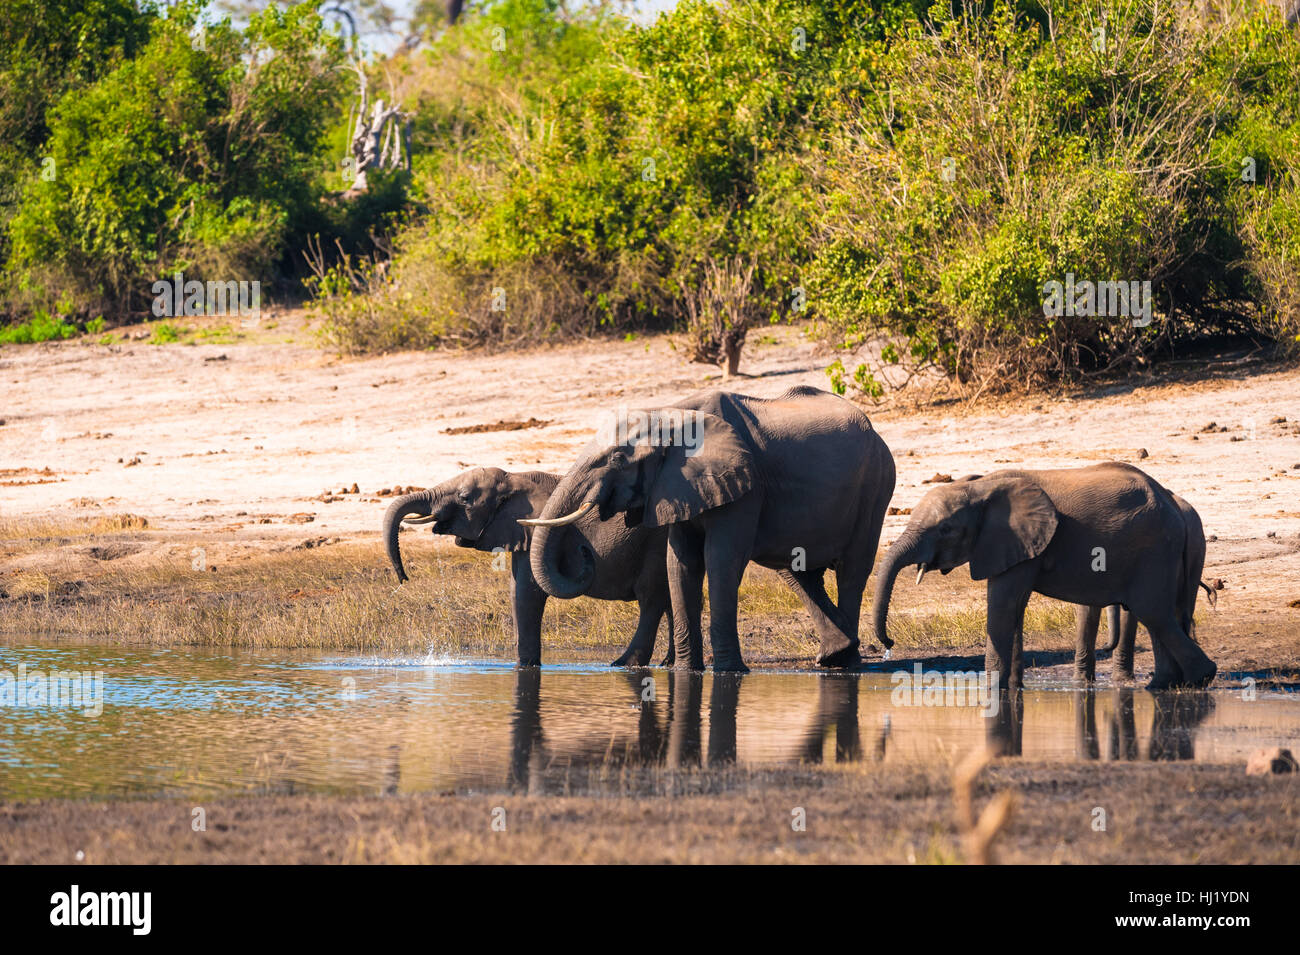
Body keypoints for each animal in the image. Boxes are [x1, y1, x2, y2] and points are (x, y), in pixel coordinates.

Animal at [379, 467, 670, 665]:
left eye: (464, 497)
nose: (403, 578)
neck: (515, 478)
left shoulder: (534, 528)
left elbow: (527, 594)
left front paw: (526, 666)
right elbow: (515, 590)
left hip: (656, 544)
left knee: (651, 600)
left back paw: (623, 664)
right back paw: (667, 664)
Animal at [517, 387, 894, 670]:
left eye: (617, 459)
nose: (584, 550)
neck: (670, 414)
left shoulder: (744, 484)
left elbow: (720, 559)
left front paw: (728, 671)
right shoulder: (679, 486)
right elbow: (681, 562)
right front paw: (687, 671)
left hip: (876, 484)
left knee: (852, 572)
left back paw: (847, 664)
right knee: (799, 572)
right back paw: (836, 655)